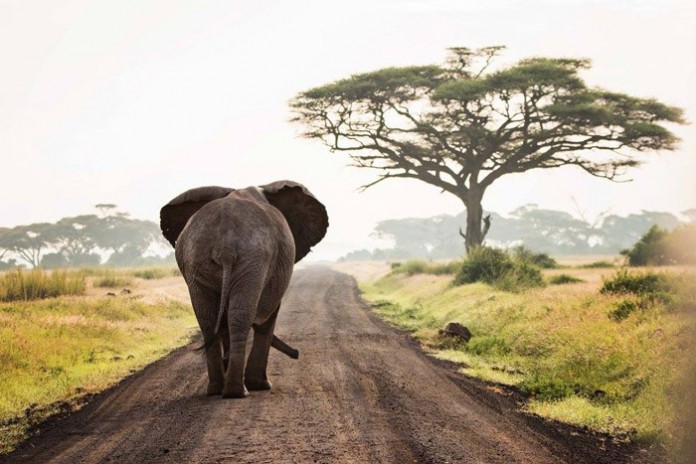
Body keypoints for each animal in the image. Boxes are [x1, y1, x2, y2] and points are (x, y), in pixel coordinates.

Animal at [160, 180, 328, 398]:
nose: (297, 354)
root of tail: (225, 247)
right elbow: (268, 317)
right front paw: (262, 385)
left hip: (196, 260)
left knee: (209, 319)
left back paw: (216, 389)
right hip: (253, 260)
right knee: (239, 316)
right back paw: (237, 391)